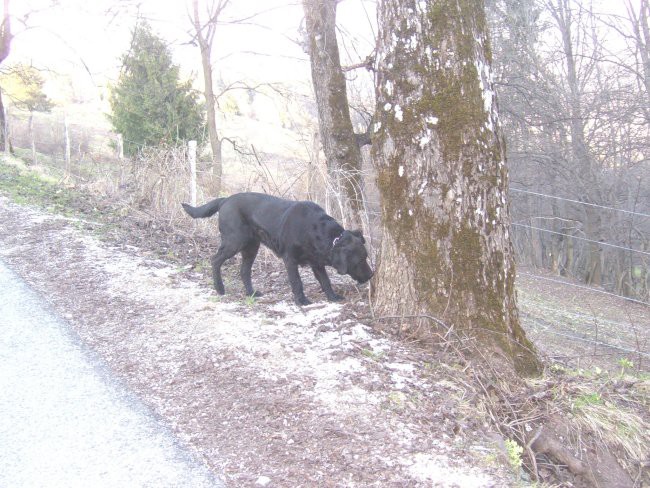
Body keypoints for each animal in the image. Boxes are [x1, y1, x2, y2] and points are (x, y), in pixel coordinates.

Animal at [180, 192, 372, 304]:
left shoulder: (317, 262)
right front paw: (302, 301)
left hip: (251, 247)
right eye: (359, 260)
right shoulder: (290, 260)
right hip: (234, 241)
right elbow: (297, 282)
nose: (371, 275)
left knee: (244, 271)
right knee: (215, 260)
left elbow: (325, 281)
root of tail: (225, 200)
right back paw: (219, 288)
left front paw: (332, 297)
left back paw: (251, 293)